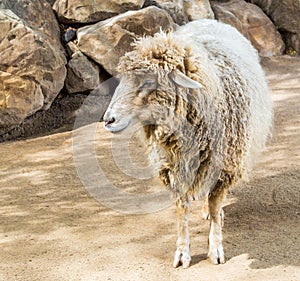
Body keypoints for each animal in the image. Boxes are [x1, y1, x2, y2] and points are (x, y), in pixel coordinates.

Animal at [102, 18, 272, 268]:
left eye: (149, 81)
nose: (108, 119)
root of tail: (208, 19)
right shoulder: (172, 168)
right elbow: (181, 210)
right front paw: (182, 253)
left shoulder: (225, 167)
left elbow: (215, 204)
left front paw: (215, 249)